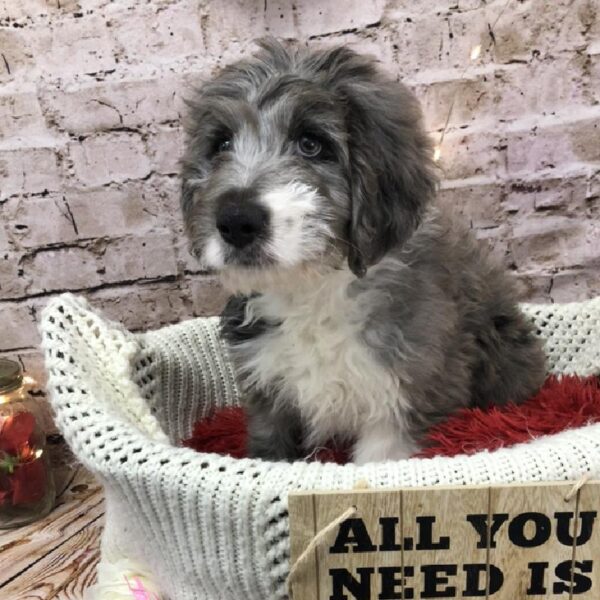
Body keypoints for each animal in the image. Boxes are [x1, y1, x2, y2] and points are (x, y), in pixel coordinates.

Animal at [179, 39, 548, 464]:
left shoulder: (404, 391)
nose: (237, 220)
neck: (313, 289)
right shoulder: (268, 394)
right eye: (221, 143)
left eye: (311, 144)